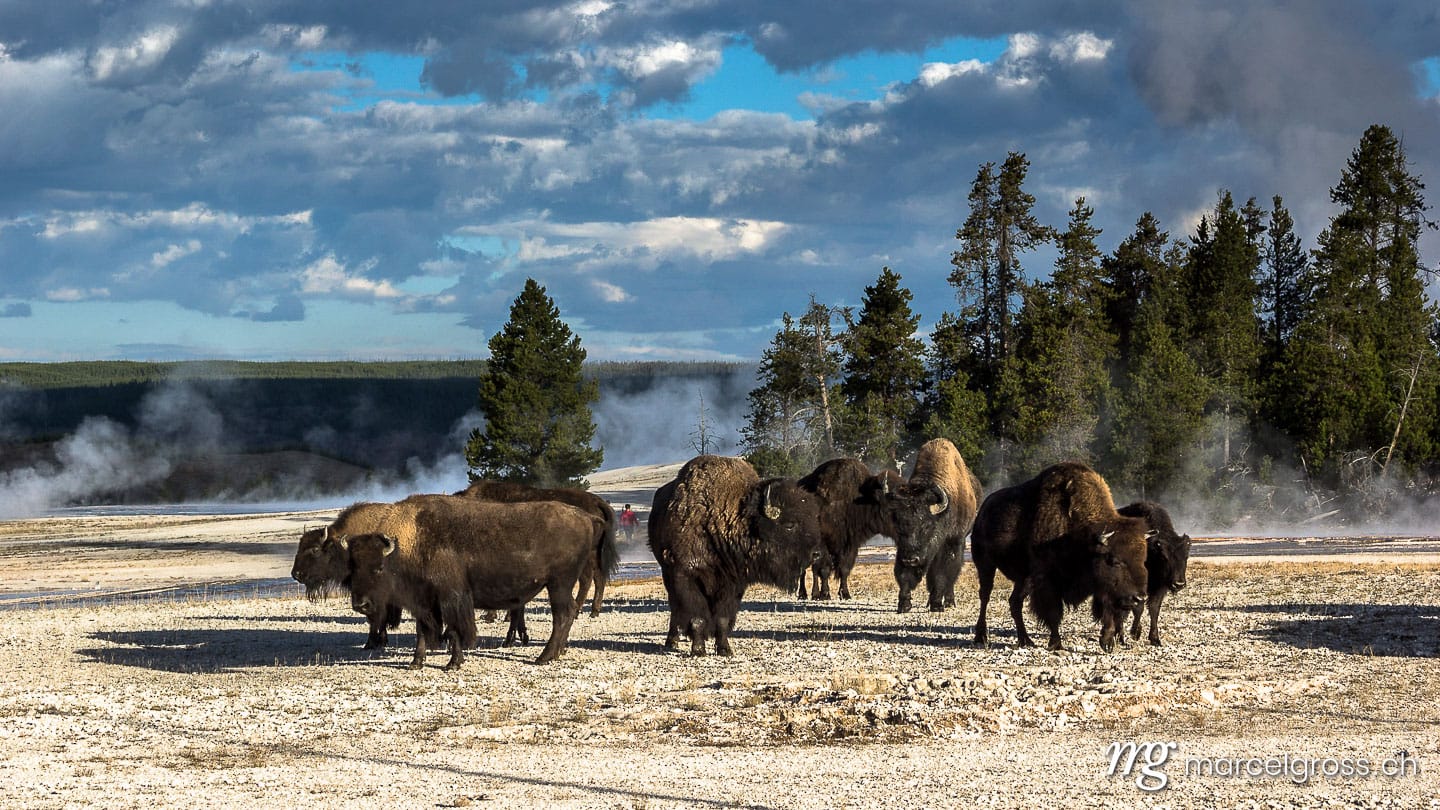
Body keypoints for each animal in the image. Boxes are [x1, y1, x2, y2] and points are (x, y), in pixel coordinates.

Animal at [343, 494, 608, 669]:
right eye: (352, 567)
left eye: (379, 568)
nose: (361, 604)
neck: (413, 540)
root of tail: (585, 516)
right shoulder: (425, 602)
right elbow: (422, 631)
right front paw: (416, 662)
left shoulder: (451, 598)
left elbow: (453, 631)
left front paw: (453, 663)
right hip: (561, 585)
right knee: (568, 612)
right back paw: (557, 653)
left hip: (559, 584)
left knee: (562, 614)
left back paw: (544, 657)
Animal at [649, 455, 825, 656]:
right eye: (789, 525)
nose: (816, 553)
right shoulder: (686, 576)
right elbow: (697, 616)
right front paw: (699, 650)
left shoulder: (733, 584)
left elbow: (723, 619)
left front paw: (725, 649)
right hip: (668, 575)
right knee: (675, 608)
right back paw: (672, 641)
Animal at [871, 439, 981, 613]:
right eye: (898, 526)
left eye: (927, 526)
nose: (910, 559)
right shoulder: (904, 550)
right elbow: (904, 575)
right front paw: (904, 604)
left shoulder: (951, 542)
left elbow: (943, 574)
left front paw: (937, 605)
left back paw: (948, 601)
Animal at [1117, 501, 1192, 646]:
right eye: (1164, 557)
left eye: (1186, 556)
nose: (1179, 584)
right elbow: (1139, 607)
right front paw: (1135, 633)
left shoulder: (1159, 588)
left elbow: (1154, 608)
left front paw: (1155, 639)